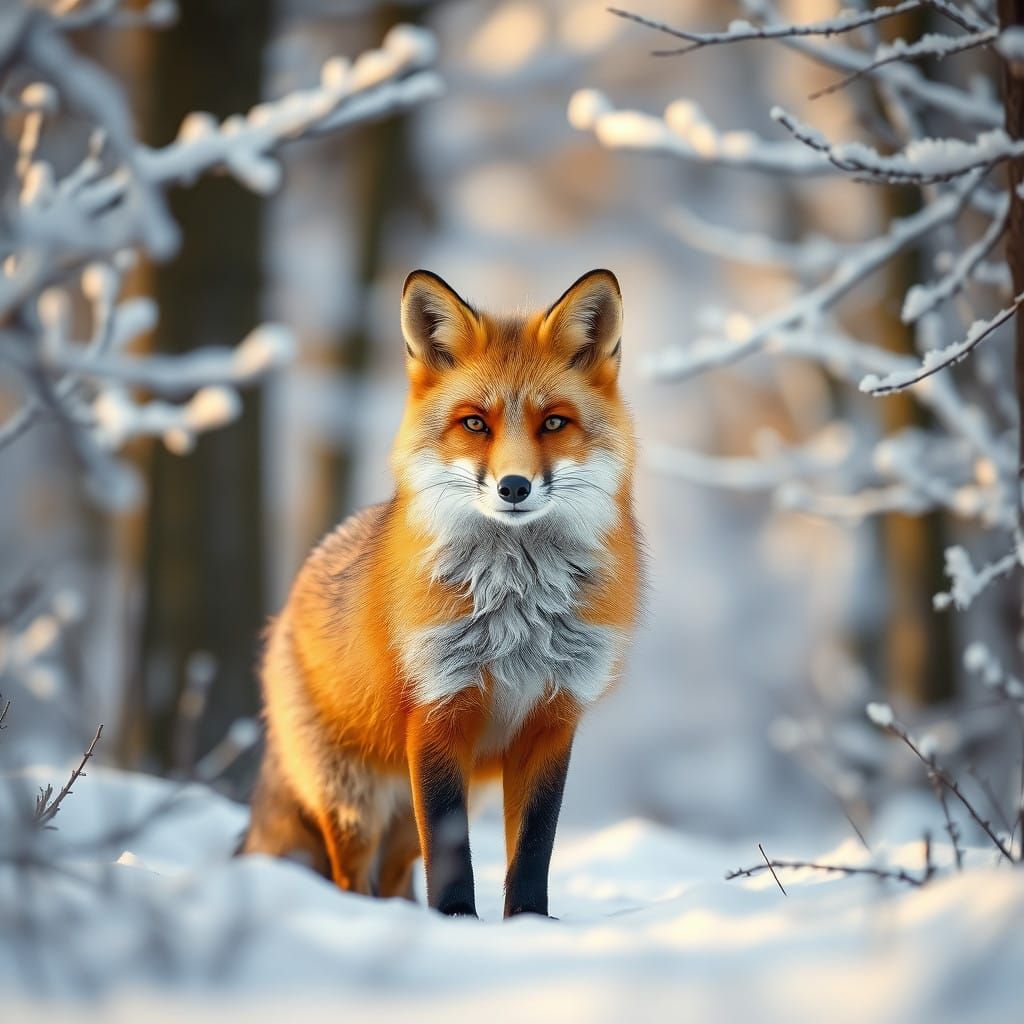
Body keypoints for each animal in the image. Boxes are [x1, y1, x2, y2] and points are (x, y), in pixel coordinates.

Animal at [241, 268, 643, 918]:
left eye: (554, 422)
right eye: (475, 423)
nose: (513, 486)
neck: (516, 613)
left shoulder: (551, 720)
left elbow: (534, 848)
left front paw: (528, 925)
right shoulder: (437, 713)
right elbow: (453, 856)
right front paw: (457, 922)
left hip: (408, 817)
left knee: (396, 877)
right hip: (354, 803)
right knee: (351, 878)